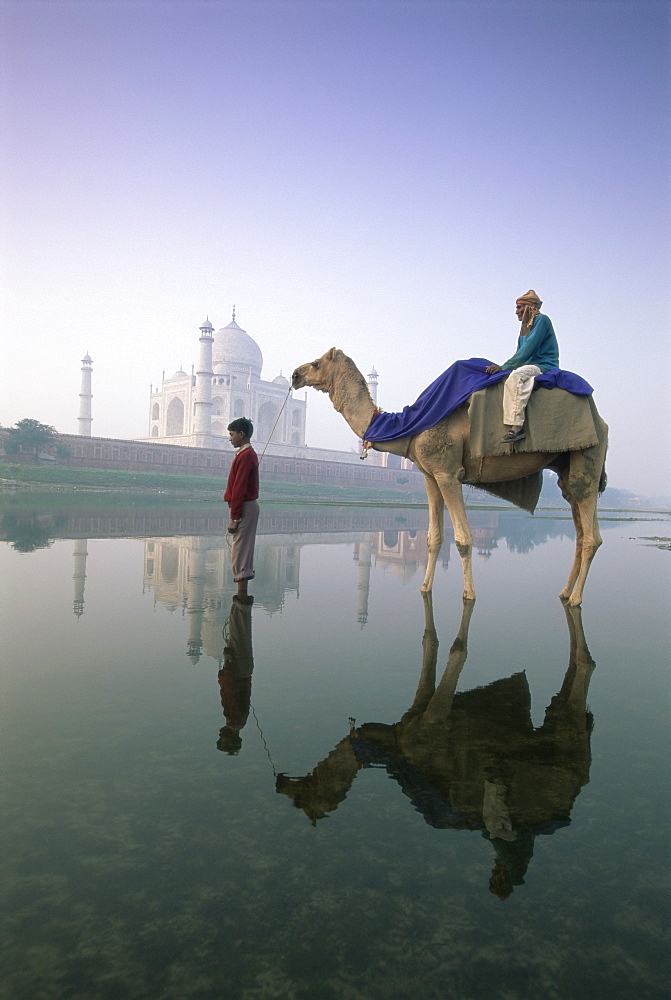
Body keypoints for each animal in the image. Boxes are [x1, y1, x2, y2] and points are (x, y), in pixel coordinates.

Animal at [292, 348, 608, 604]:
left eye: (317, 363)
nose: (295, 374)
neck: (410, 424)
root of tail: (600, 419)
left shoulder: (447, 473)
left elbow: (464, 538)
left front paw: (469, 594)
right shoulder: (430, 476)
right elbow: (433, 537)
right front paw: (424, 588)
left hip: (588, 455)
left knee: (591, 533)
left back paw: (576, 599)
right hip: (566, 466)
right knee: (579, 528)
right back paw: (564, 592)